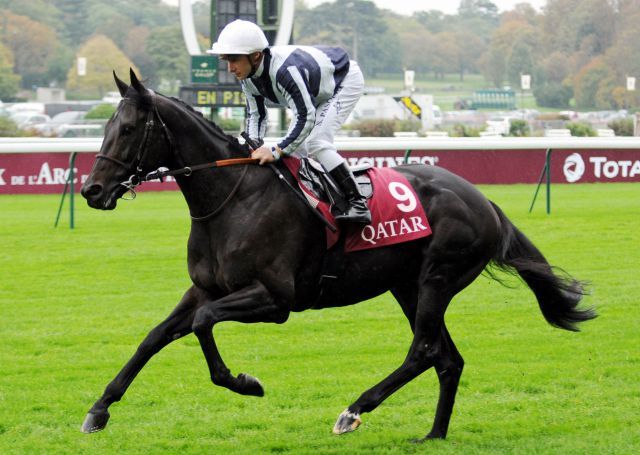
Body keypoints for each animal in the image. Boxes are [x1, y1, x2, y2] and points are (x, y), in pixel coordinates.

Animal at [79, 71, 596, 442]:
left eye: (128, 129)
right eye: (104, 127)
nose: (92, 190)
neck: (232, 198)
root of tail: (485, 201)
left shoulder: (276, 299)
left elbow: (204, 324)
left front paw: (245, 382)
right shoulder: (204, 287)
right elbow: (155, 336)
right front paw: (99, 409)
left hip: (437, 279)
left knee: (424, 350)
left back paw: (353, 411)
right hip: (407, 286)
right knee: (446, 358)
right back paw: (433, 434)